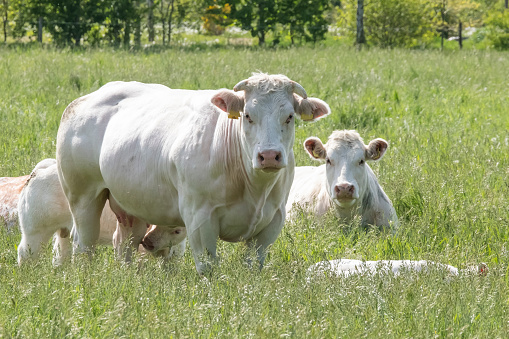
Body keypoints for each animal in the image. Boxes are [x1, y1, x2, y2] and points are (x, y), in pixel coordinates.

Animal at [17, 159, 187, 266]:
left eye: (177, 231)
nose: (148, 242)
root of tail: (39, 171)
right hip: (35, 230)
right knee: (25, 251)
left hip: (63, 233)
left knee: (59, 254)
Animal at [55, 73, 330, 274]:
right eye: (248, 115)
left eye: (290, 116)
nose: (270, 156)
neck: (253, 188)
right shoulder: (199, 218)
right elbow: (207, 267)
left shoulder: (272, 221)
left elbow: (253, 267)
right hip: (83, 196)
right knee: (84, 244)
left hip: (132, 205)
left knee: (124, 243)